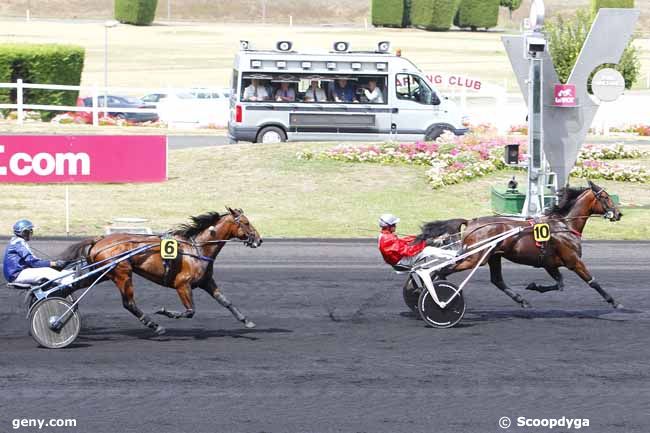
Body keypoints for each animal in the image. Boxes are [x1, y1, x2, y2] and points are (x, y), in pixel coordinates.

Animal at [62, 208, 260, 336]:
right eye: (246, 222)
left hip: (101, 273)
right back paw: (155, 325)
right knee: (129, 303)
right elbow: (190, 311)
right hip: (122, 273)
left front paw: (246, 320)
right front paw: (166, 312)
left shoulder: (206, 282)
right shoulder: (182, 285)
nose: (259, 240)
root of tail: (100, 240)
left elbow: (225, 301)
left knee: (74, 286)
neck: (197, 248)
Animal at [420, 181, 624, 308]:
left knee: (497, 280)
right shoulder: (573, 261)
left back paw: (522, 300)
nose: (618, 214)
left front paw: (534, 286)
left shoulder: (549, 263)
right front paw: (614, 301)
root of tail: (471, 222)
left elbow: (559, 284)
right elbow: (592, 281)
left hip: (493, 257)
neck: (564, 225)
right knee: (443, 270)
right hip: (475, 258)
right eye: (606, 197)